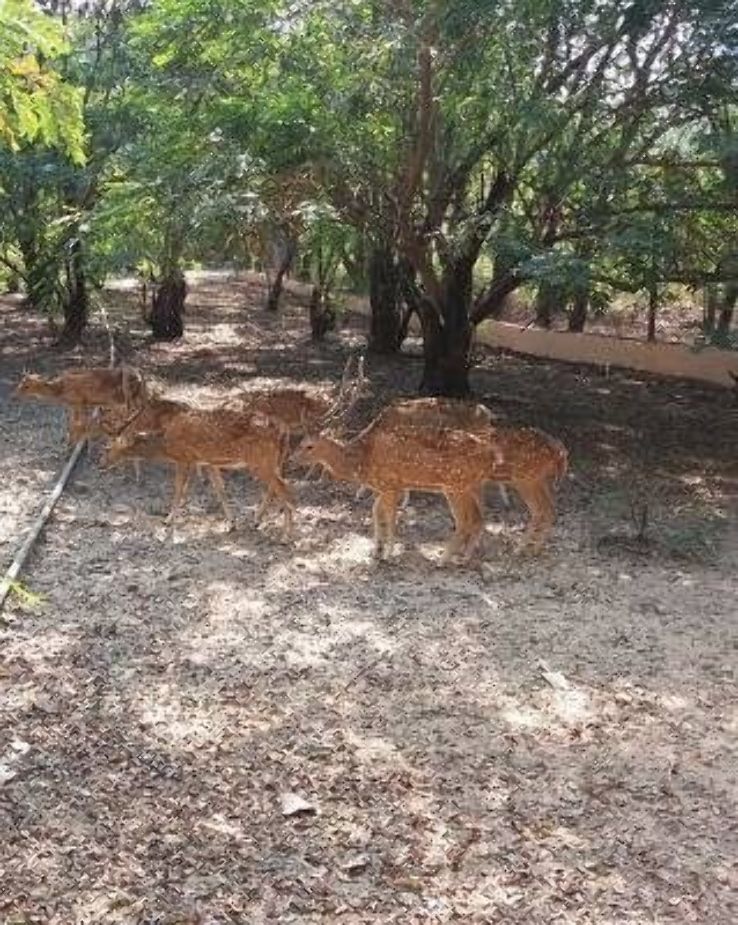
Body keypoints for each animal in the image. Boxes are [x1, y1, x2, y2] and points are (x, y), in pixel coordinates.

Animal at [102, 406, 295, 538]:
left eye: (108, 447)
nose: (101, 464)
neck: (166, 446)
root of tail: (285, 431)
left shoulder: (184, 459)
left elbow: (179, 488)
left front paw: (168, 520)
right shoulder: (209, 462)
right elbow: (220, 490)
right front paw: (231, 523)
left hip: (261, 460)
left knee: (284, 486)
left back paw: (286, 535)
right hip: (274, 460)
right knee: (276, 486)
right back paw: (257, 520)